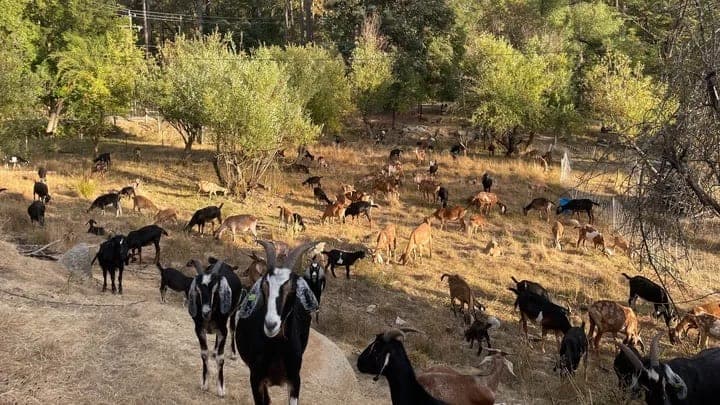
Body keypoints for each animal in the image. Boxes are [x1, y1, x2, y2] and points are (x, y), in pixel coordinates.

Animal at [188, 259, 243, 397]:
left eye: (215, 289)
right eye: (198, 289)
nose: (206, 311)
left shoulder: (223, 330)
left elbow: (220, 358)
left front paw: (221, 388)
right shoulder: (199, 329)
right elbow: (204, 354)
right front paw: (204, 383)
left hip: (234, 311)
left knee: (233, 328)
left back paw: (233, 353)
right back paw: (214, 350)